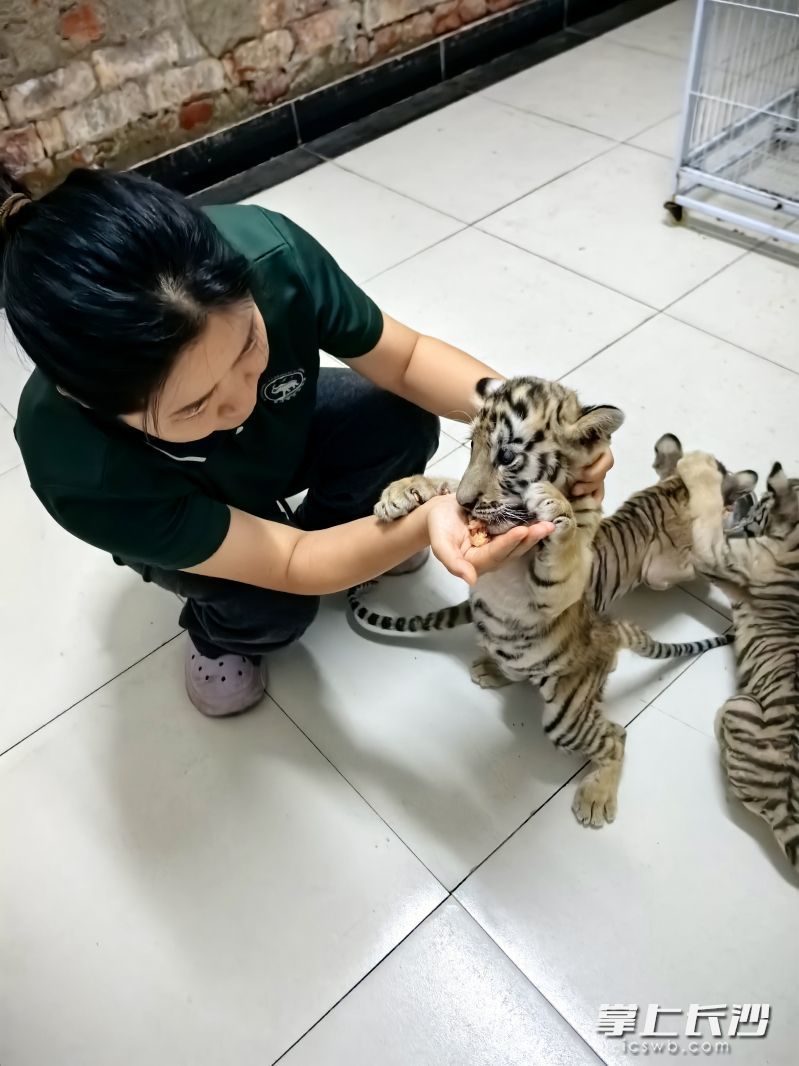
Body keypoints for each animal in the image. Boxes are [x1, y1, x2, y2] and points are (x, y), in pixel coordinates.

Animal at [349, 377, 750, 828]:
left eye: (506, 457)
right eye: (471, 446)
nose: (465, 506)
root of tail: (611, 632)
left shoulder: (560, 587)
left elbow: (566, 546)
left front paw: (554, 507)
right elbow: (446, 481)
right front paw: (400, 493)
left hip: (566, 716)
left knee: (615, 736)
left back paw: (595, 799)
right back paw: (491, 669)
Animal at [677, 450, 799, 873]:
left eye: (762, 508)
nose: (747, 505)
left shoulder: (721, 556)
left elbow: (706, 509)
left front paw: (696, 466)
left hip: (739, 704)